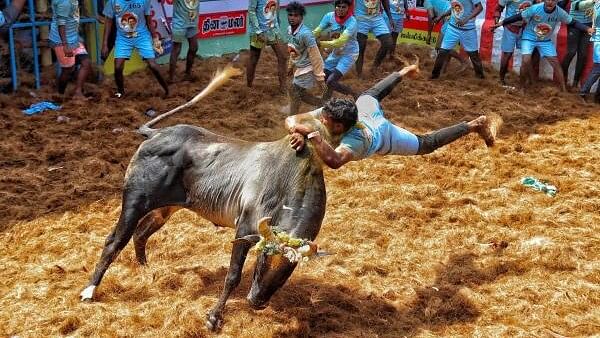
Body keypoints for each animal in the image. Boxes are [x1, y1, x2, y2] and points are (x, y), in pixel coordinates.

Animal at [79, 66, 328, 330]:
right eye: (263, 258)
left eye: (288, 270)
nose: (257, 301)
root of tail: (156, 134)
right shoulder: (244, 229)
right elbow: (232, 276)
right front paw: (213, 317)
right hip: (134, 202)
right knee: (114, 241)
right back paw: (89, 290)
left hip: (164, 209)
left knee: (140, 234)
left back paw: (147, 270)